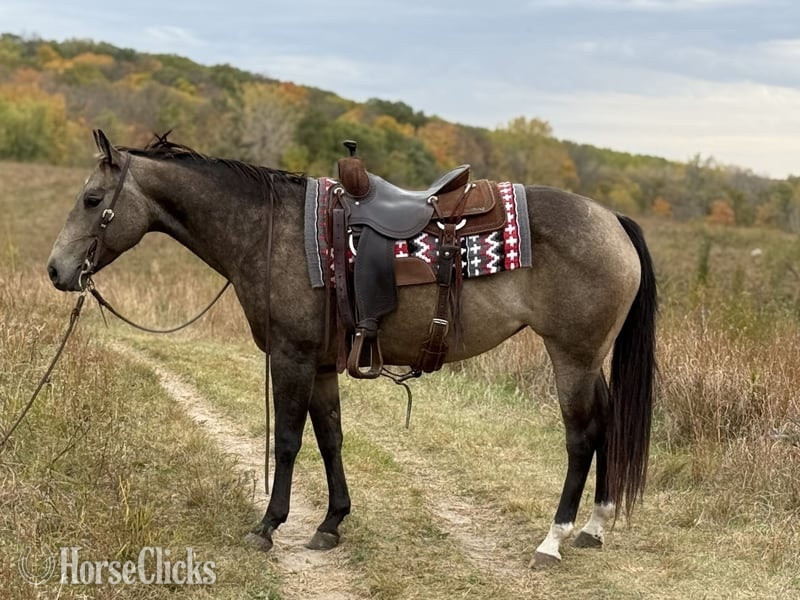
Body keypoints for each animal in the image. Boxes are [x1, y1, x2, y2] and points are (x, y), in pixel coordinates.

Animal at [47, 130, 656, 568]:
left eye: (92, 199)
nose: (56, 270)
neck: (270, 230)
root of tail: (612, 219)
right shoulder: (319, 364)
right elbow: (330, 439)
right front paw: (331, 522)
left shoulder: (290, 357)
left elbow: (289, 442)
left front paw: (268, 526)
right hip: (589, 359)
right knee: (606, 423)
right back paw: (595, 527)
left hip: (571, 356)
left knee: (582, 437)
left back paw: (553, 539)